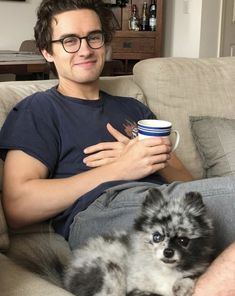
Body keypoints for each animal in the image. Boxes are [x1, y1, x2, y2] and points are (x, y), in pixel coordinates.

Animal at [9, 188, 215, 294]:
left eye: (183, 240)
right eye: (157, 237)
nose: (168, 252)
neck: (163, 271)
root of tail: (66, 278)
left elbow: (188, 278)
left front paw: (181, 287)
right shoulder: (135, 288)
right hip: (109, 273)